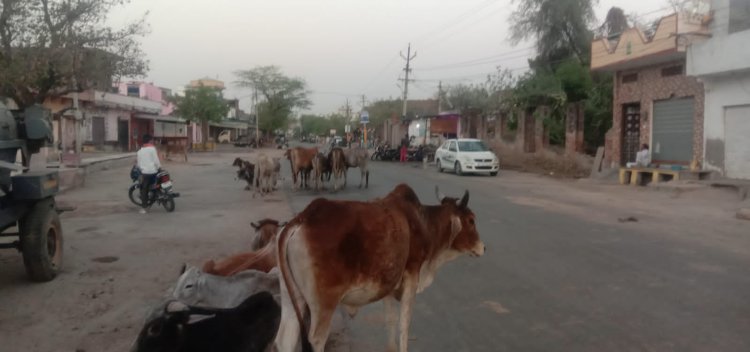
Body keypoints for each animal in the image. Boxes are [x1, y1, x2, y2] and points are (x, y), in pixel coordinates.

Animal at [274, 184, 484, 352]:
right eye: (471, 220)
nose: (483, 247)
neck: (424, 223)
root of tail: (303, 218)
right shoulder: (412, 276)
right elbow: (404, 324)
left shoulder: (389, 284)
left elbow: (390, 321)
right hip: (324, 304)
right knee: (317, 340)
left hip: (292, 298)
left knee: (285, 340)